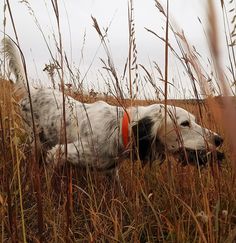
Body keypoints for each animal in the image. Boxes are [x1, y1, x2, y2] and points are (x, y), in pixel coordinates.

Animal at [1, 38, 223, 178]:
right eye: (185, 123)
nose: (218, 139)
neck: (120, 129)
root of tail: (34, 90)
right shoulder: (60, 152)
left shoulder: (110, 172)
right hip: (36, 141)